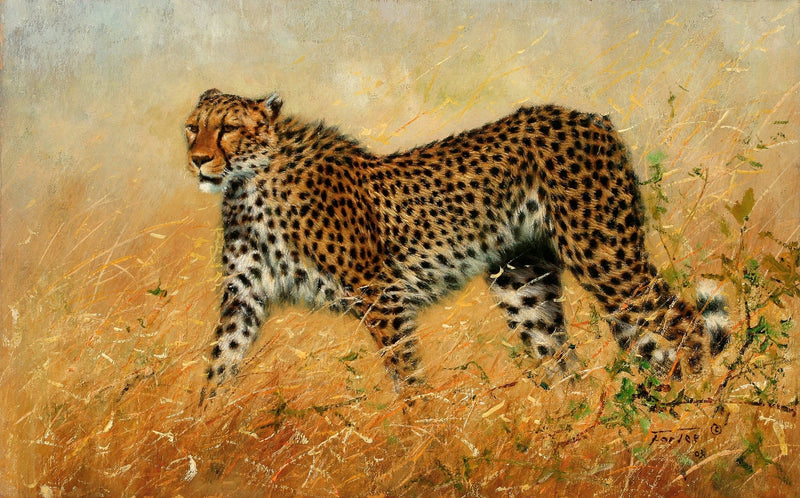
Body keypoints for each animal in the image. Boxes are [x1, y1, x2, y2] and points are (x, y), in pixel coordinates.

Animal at [184, 89, 729, 399]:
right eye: (193, 127)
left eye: (228, 128)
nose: (197, 159)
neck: (248, 182)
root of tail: (588, 117)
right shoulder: (244, 296)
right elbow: (220, 365)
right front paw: (204, 432)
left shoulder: (382, 296)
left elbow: (407, 382)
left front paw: (420, 443)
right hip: (522, 285)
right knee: (565, 368)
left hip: (604, 257)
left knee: (687, 322)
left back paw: (695, 413)